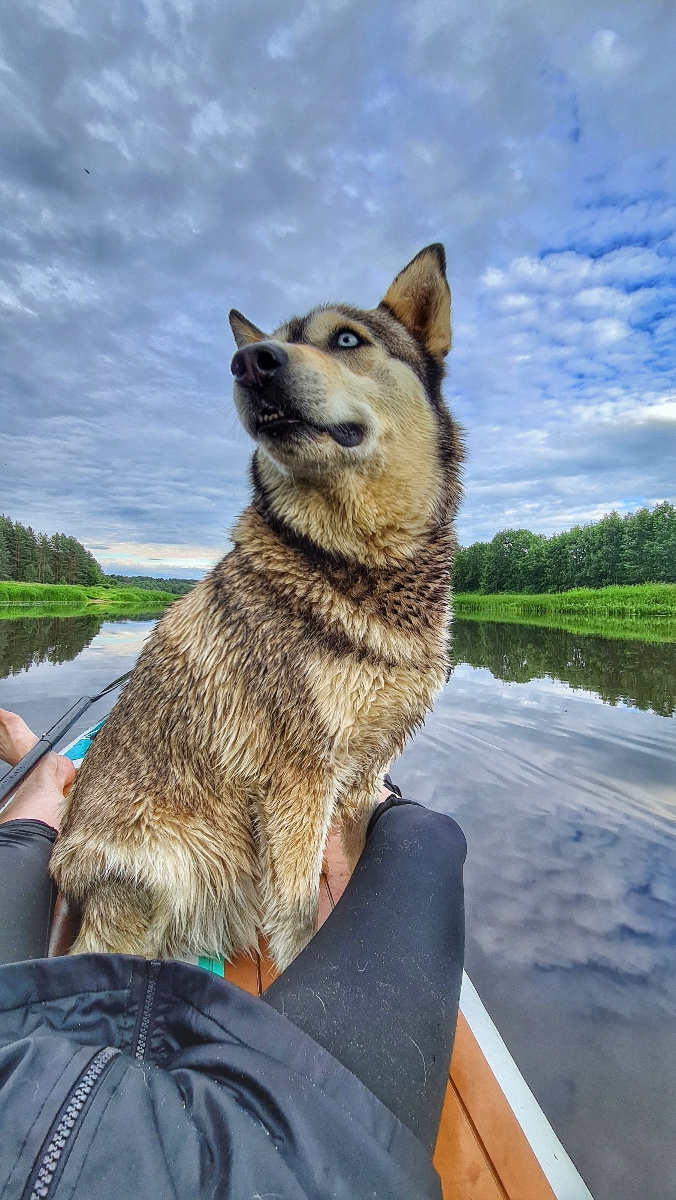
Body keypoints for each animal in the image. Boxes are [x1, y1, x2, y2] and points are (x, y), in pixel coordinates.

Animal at [50, 248, 465, 969]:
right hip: (172, 864)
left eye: (346, 340)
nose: (249, 362)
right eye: (269, 342)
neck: (352, 560)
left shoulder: (362, 779)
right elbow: (297, 913)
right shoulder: (299, 780)